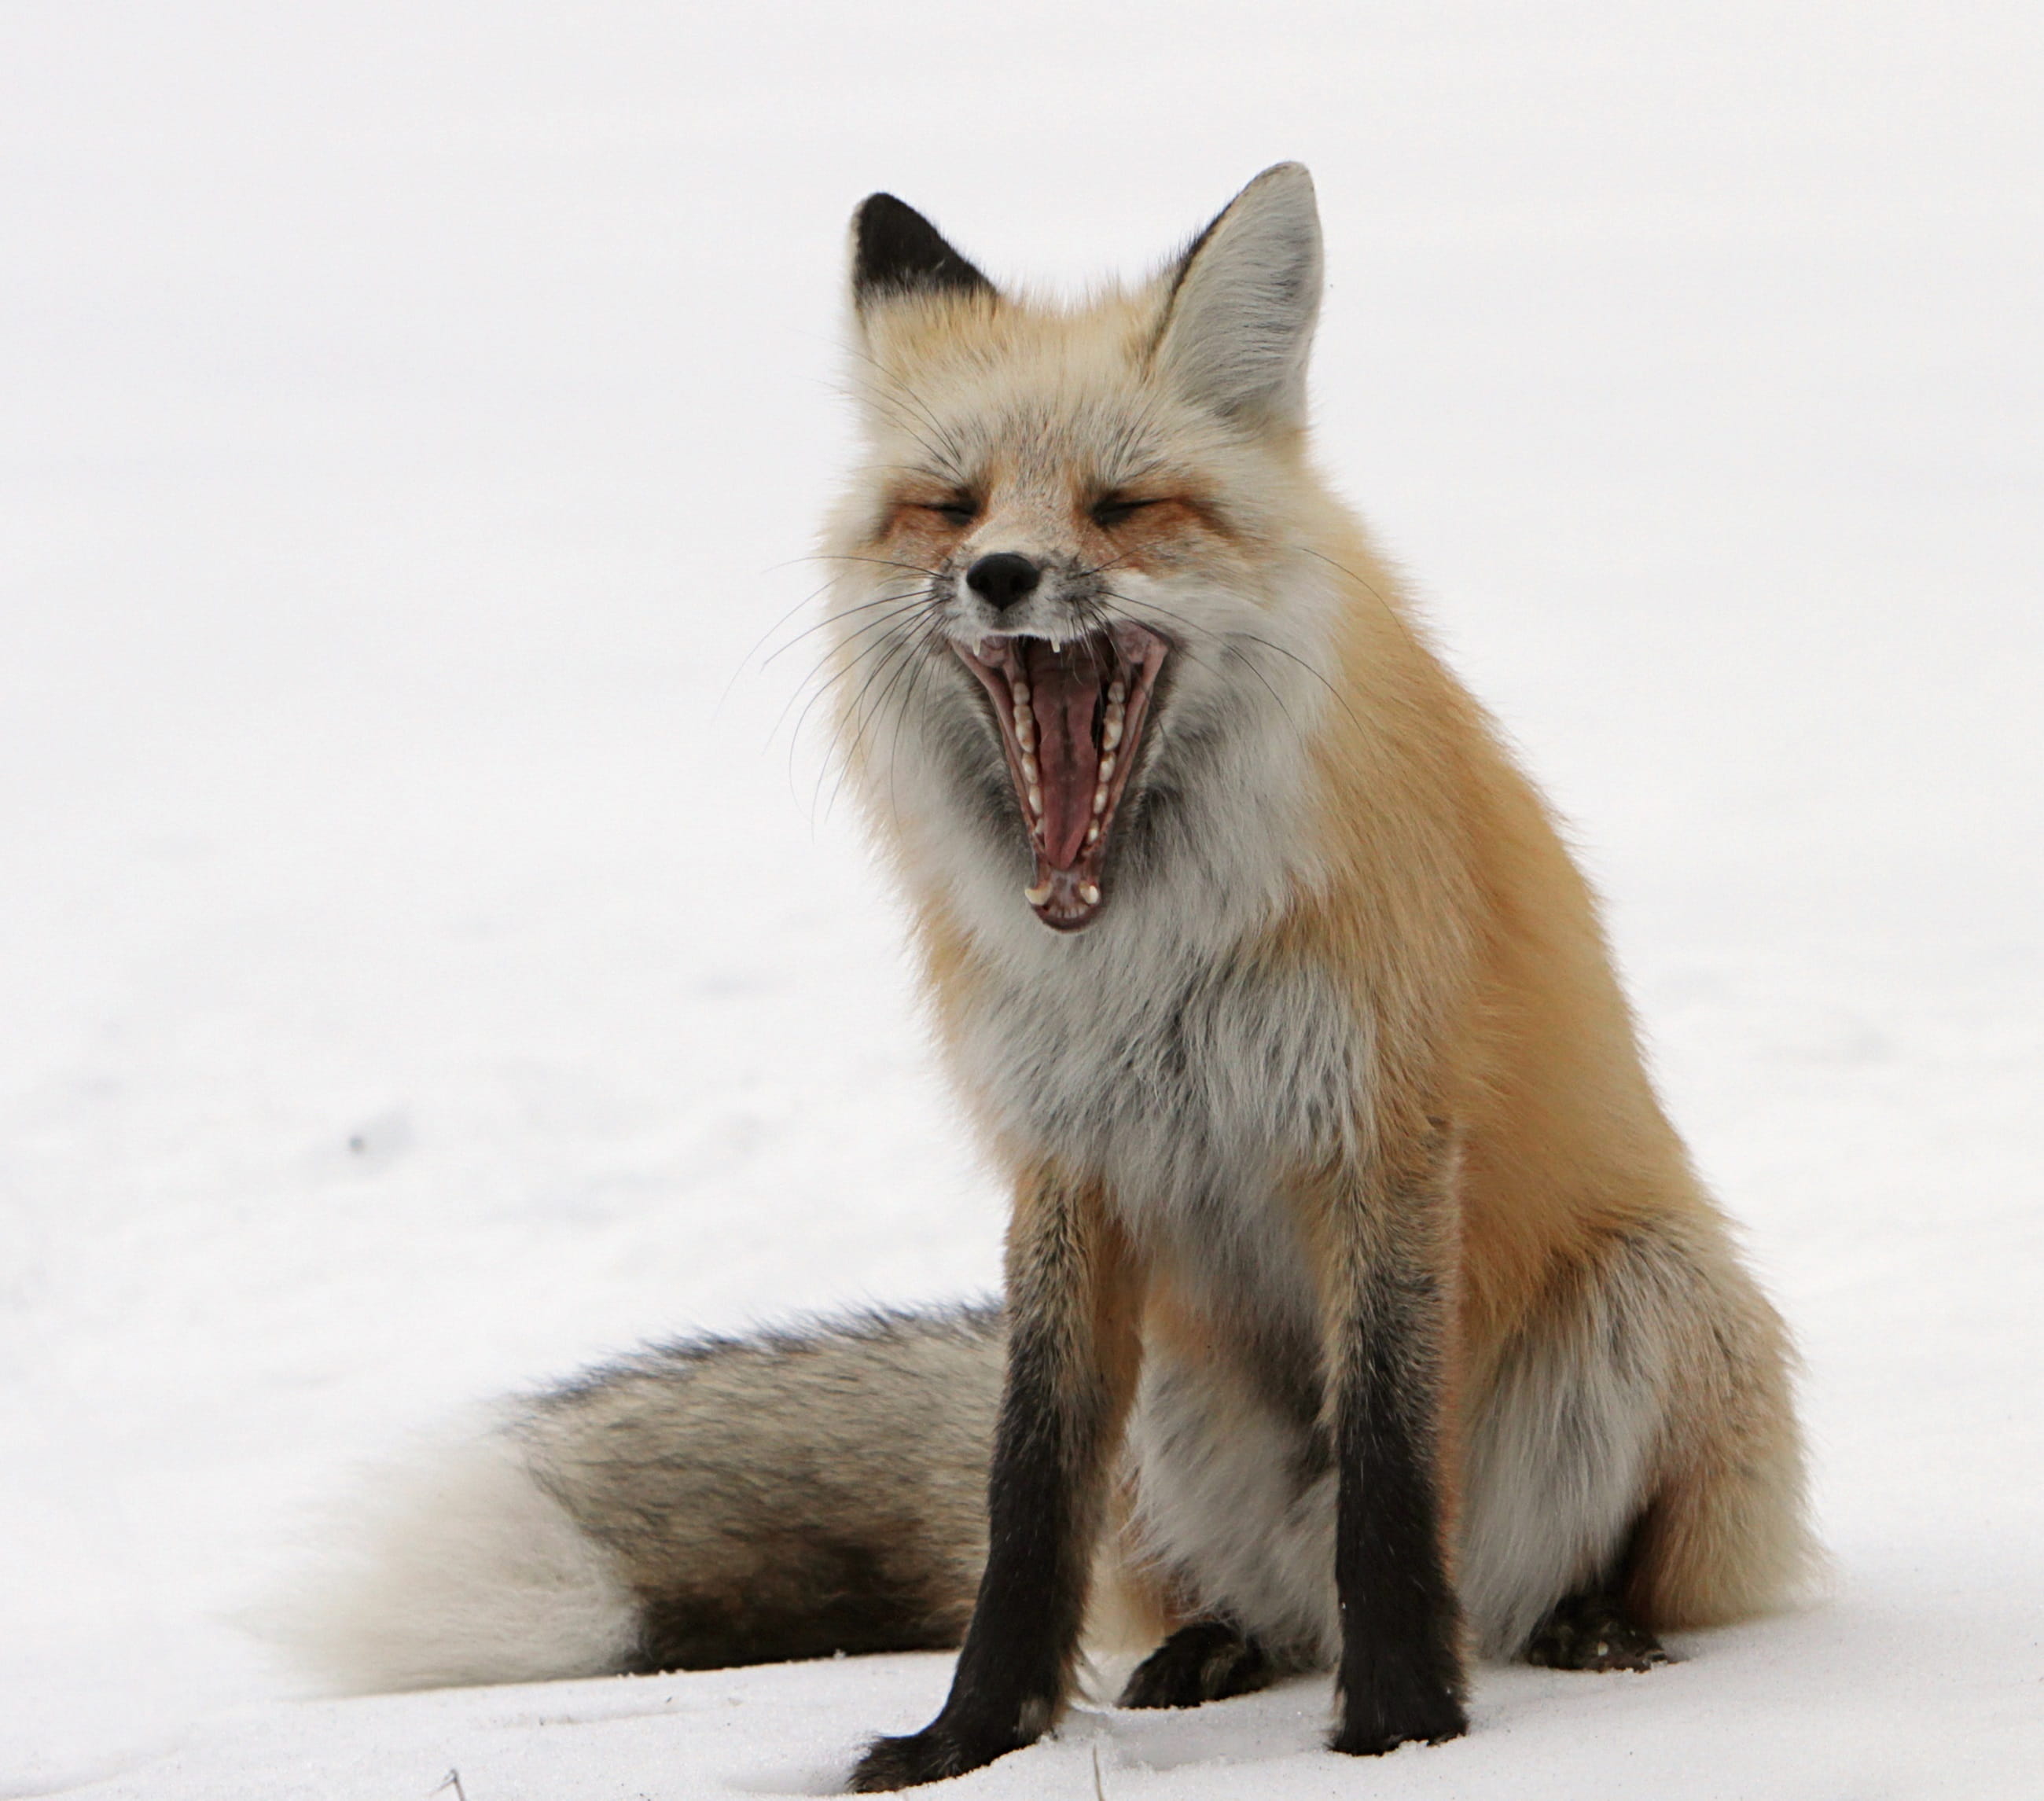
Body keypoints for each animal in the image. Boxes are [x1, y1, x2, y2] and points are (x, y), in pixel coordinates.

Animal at [278, 165, 1814, 1789]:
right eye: (950, 507)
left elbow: (1392, 1479)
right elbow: (1025, 1496)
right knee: (1223, 1593)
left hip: (1652, 1294)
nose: (999, 574)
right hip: (1181, 1412)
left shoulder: (1381, 1134)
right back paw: (1210, 1646)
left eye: (1122, 507)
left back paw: (1588, 1623)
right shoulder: (1066, 1162)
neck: (1147, 962)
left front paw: (1404, 1727)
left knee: (1546, 1566)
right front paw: (970, 1740)